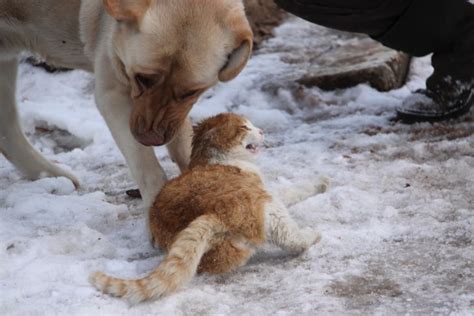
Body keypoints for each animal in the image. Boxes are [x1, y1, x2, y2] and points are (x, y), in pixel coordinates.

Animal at [0, 0, 254, 207]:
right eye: (143, 78)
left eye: (191, 92)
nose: (151, 138)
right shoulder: (113, 95)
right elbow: (145, 165)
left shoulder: (176, 114)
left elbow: (183, 143)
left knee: (7, 130)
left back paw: (49, 175)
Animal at [90, 113, 324, 304]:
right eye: (245, 127)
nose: (261, 131)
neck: (212, 159)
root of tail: (213, 212)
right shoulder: (267, 190)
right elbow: (293, 189)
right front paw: (322, 182)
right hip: (270, 208)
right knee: (292, 239)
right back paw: (312, 235)